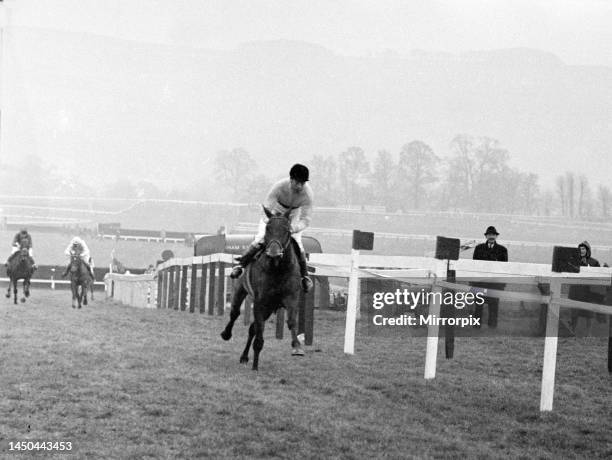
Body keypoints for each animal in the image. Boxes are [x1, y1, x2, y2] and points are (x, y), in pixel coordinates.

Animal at [221, 207, 304, 372]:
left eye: (287, 230)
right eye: (267, 228)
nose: (273, 252)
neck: (278, 270)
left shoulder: (291, 298)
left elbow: (291, 321)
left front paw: (297, 347)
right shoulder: (260, 302)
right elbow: (259, 335)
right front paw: (255, 366)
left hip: (270, 308)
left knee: (252, 328)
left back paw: (244, 356)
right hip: (241, 290)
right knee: (235, 314)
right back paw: (227, 334)